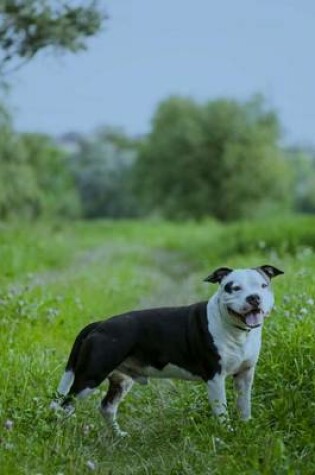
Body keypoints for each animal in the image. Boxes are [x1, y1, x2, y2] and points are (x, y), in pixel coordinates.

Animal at [51, 266, 284, 436]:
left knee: (106, 407)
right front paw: (226, 434)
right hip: (89, 378)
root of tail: (98, 325)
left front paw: (246, 428)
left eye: (263, 285)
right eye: (233, 287)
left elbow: (244, 406)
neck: (236, 331)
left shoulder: (245, 375)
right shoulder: (215, 377)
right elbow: (222, 411)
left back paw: (119, 436)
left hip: (121, 380)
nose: (254, 297)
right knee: (65, 406)